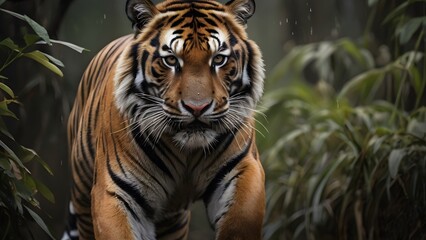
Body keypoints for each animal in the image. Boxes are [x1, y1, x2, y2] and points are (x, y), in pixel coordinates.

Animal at [62, 0, 264, 239]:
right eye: (170, 60)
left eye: (218, 59)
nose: (197, 107)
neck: (187, 152)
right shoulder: (114, 191)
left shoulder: (243, 169)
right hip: (83, 198)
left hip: (173, 220)